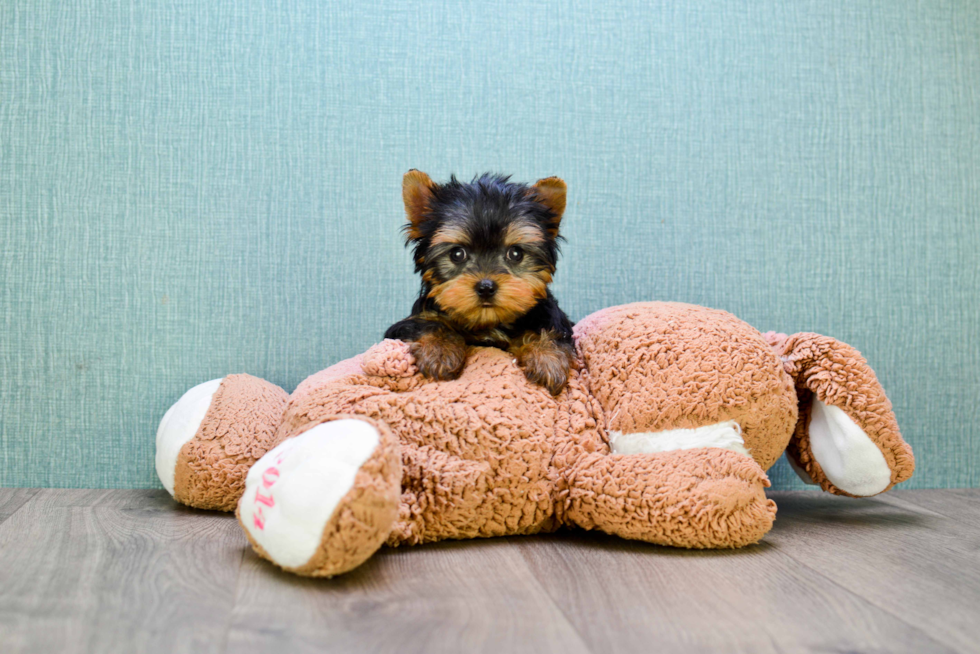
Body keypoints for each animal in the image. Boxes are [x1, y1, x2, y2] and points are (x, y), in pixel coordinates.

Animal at [384, 172, 576, 394]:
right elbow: (428, 324)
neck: (487, 322)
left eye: (516, 253)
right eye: (457, 254)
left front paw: (547, 357)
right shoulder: (408, 323)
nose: (485, 287)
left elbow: (549, 330)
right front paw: (439, 351)